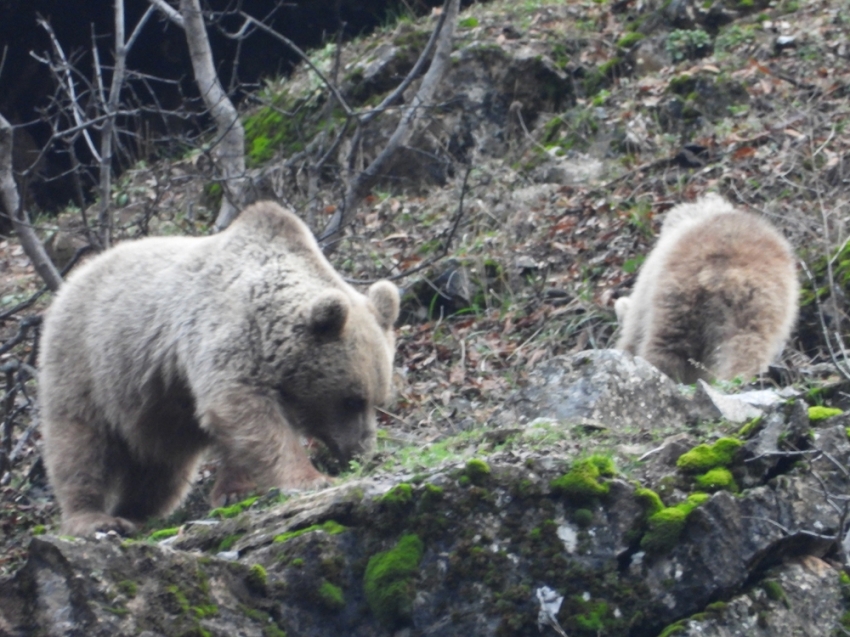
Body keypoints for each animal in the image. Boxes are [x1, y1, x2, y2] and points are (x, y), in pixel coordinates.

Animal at [39, 200, 398, 536]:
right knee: (80, 444)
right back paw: (95, 518)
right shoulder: (225, 336)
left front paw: (235, 490)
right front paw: (311, 478)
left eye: (378, 401)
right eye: (351, 400)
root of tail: (71, 280)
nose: (361, 452)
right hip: (86, 362)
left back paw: (136, 511)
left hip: (155, 407)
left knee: (160, 465)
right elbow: (245, 412)